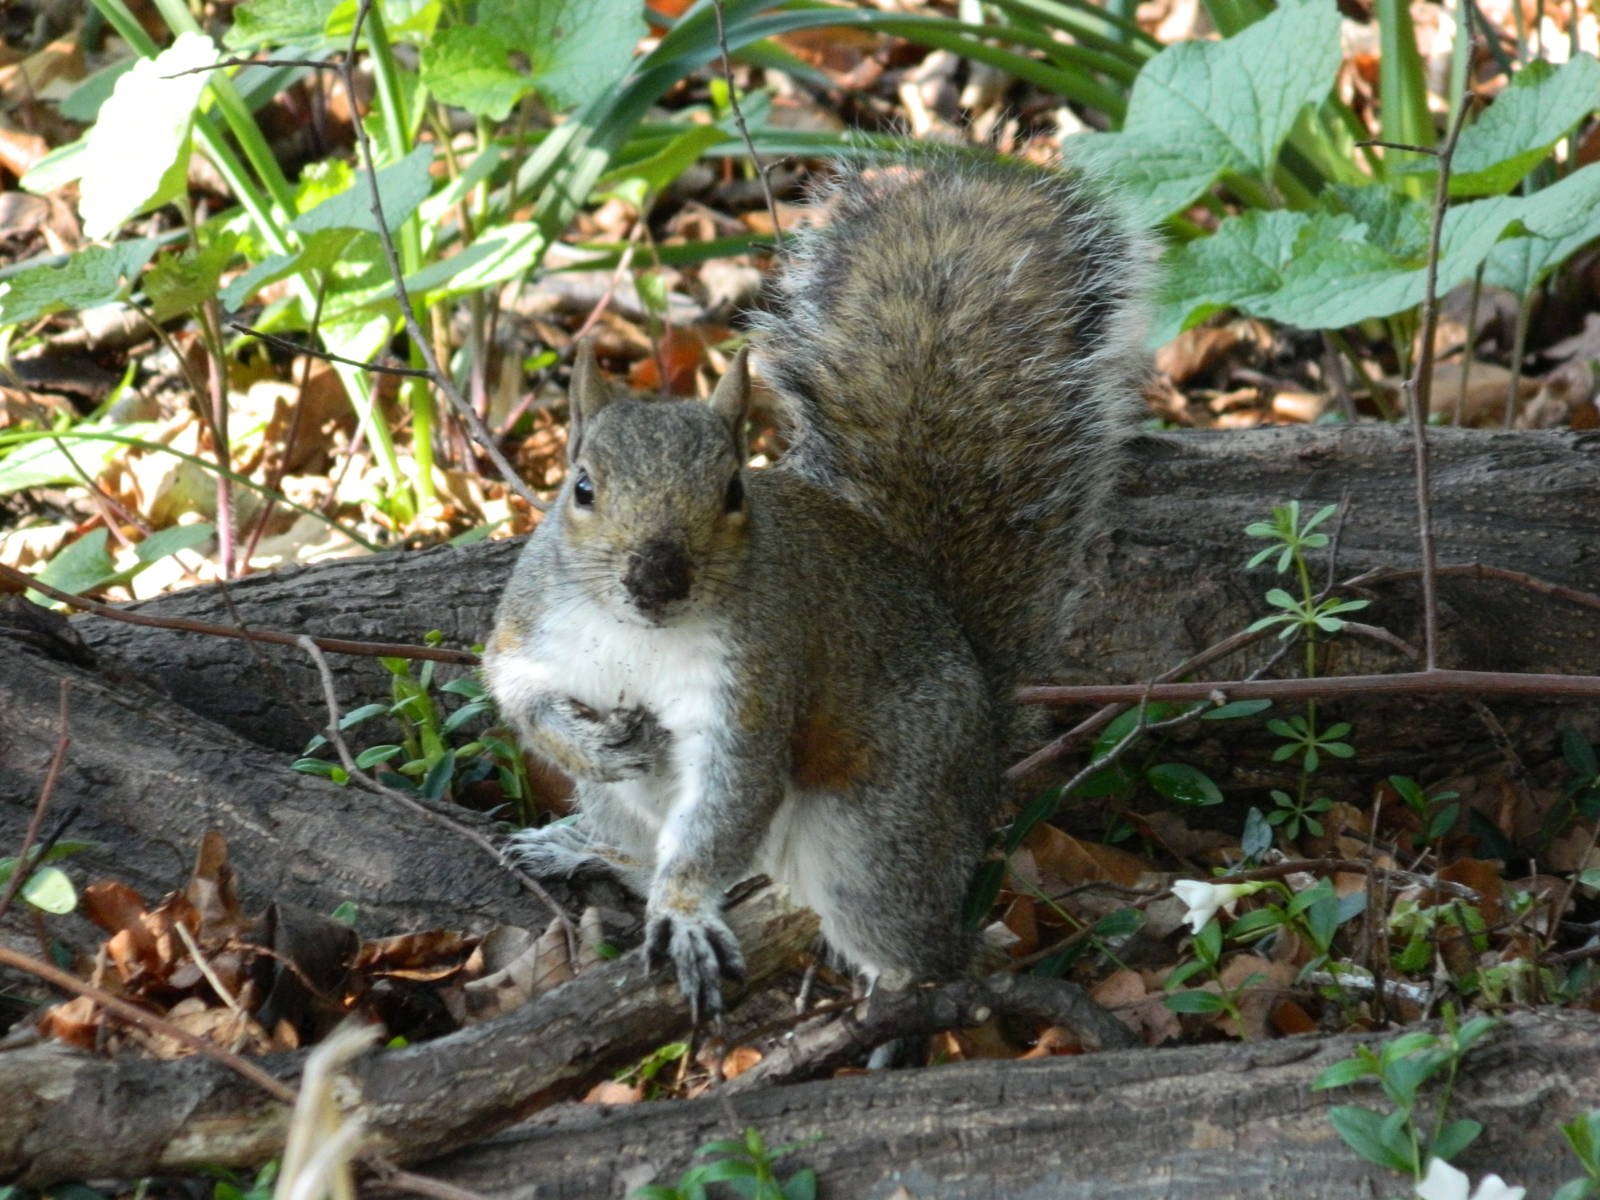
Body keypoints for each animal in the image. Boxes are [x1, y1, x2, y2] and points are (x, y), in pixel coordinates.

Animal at [483, 158, 1152, 1021]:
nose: (657, 578)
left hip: (875, 831)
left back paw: (892, 1007)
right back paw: (578, 847)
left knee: (925, 945)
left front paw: (685, 909)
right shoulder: (532, 626)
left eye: (734, 491)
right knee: (630, 839)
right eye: (583, 488)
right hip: (621, 805)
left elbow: (731, 792)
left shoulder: (755, 676)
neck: (638, 634)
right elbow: (514, 688)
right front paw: (582, 741)